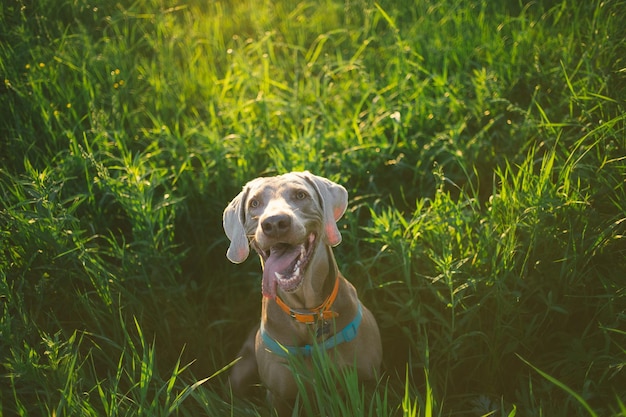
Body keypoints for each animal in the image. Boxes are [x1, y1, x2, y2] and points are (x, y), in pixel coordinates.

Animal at [223, 171, 380, 414]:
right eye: (254, 203)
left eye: (300, 195)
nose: (275, 223)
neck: (308, 313)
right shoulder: (279, 396)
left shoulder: (368, 381)